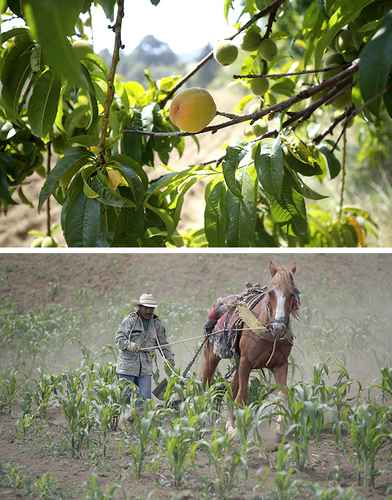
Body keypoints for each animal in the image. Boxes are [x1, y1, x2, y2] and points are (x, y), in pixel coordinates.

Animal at [202, 262, 300, 434]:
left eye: (292, 293)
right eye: (271, 293)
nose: (278, 327)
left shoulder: (281, 365)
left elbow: (283, 396)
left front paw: (279, 429)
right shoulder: (246, 362)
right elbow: (241, 397)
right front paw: (236, 430)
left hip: (237, 363)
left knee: (231, 389)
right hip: (212, 356)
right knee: (205, 385)